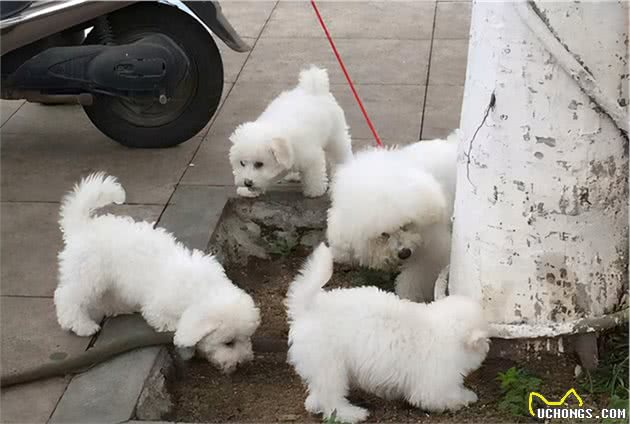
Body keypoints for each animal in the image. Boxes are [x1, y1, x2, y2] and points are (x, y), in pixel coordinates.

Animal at [55, 172, 262, 372]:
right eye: (228, 343)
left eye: (245, 338)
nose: (244, 362)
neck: (202, 289)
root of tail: (83, 227)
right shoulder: (158, 307)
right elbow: (169, 322)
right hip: (87, 275)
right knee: (67, 298)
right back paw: (82, 325)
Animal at [230, 66, 354, 199]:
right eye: (242, 163)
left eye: (259, 164)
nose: (247, 182)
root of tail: (313, 88)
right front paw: (247, 191)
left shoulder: (311, 157)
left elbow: (313, 175)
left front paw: (314, 191)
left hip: (336, 136)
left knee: (340, 154)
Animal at [288, 243, 492, 422]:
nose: (488, 349)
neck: (445, 331)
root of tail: (307, 309)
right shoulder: (435, 384)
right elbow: (446, 396)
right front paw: (468, 396)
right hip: (331, 367)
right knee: (331, 398)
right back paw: (350, 414)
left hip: (320, 366)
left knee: (318, 392)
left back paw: (315, 404)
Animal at [326, 132, 460, 302]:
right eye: (383, 234)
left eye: (406, 225)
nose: (404, 253)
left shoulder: (432, 251)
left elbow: (414, 278)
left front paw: (406, 297)